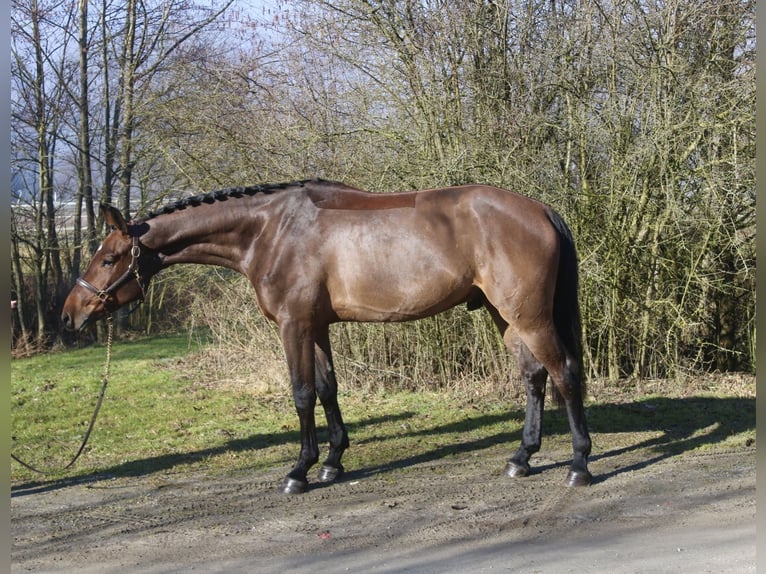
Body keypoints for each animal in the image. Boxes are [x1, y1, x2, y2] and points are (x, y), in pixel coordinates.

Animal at [61, 178, 592, 493]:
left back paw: (579, 466)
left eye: (109, 258)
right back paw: (521, 457)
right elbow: (326, 388)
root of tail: (541, 210)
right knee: (534, 377)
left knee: (564, 374)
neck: (271, 230)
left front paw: (300, 470)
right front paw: (334, 462)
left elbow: (300, 394)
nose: (69, 316)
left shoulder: (293, 325)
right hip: (507, 317)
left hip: (529, 316)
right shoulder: (316, 326)